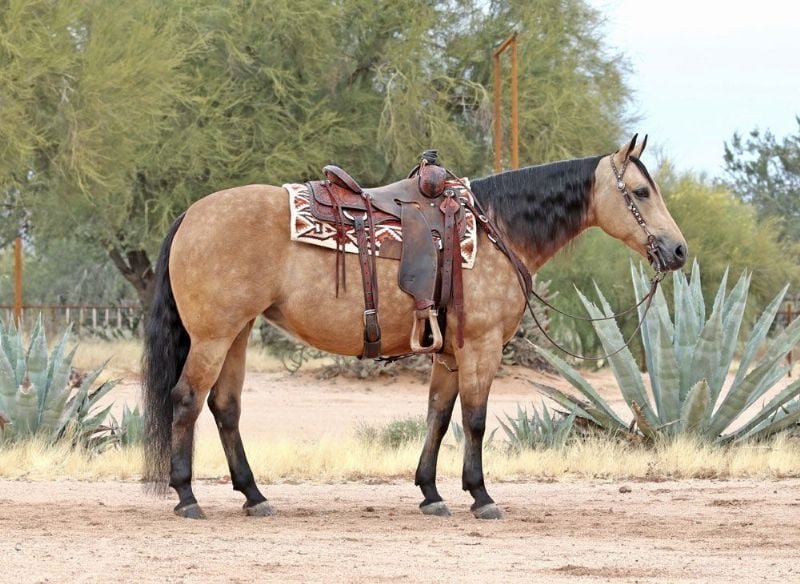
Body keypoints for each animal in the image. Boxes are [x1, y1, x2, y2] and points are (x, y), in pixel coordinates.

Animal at [142, 135, 687, 520]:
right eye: (641, 191)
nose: (678, 250)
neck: (496, 230)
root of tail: (191, 213)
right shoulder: (482, 348)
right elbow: (475, 420)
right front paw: (481, 495)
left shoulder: (449, 353)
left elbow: (438, 417)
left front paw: (430, 492)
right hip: (213, 337)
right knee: (187, 399)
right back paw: (187, 496)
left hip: (236, 334)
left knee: (225, 407)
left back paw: (254, 495)